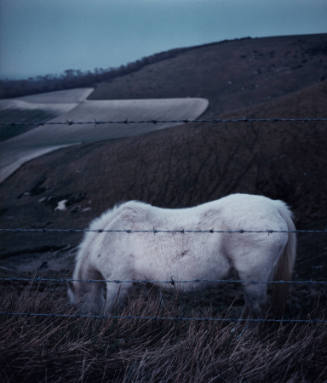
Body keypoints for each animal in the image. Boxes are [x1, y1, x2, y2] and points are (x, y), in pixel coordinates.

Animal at [68, 196, 298, 316]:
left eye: (77, 306)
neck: (109, 235)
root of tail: (275, 206)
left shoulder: (118, 283)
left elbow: (110, 310)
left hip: (253, 278)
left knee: (256, 307)